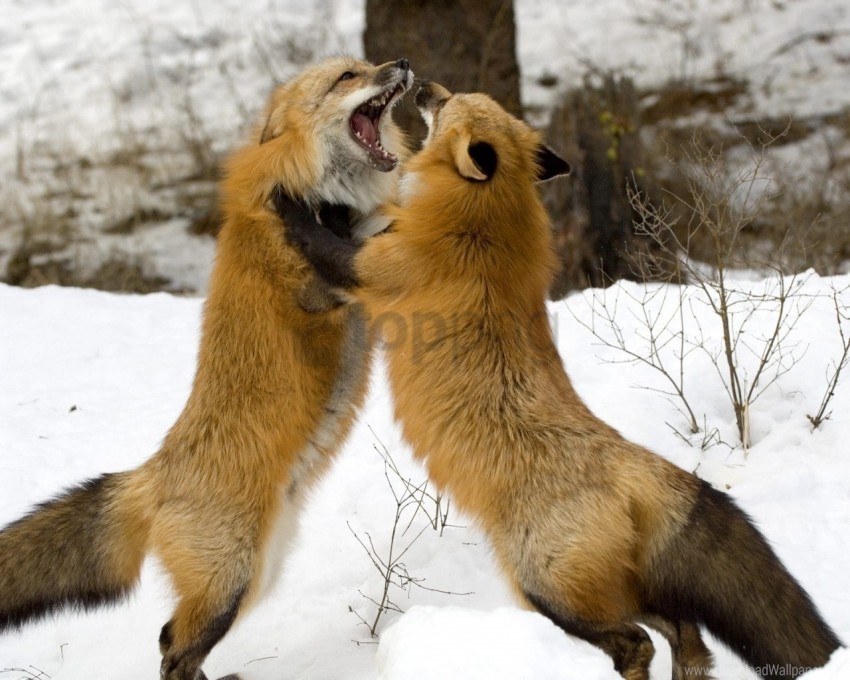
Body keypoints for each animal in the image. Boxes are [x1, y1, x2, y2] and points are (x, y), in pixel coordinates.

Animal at [0, 56, 413, 680]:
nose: (403, 64)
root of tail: (150, 475)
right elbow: (371, 242)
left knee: (173, 643)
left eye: (366, 66)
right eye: (347, 77)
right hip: (232, 581)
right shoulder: (324, 285)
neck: (316, 194)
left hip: (259, 574)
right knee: (171, 646)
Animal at [275, 81, 843, 680]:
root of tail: (639, 465)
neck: (483, 224)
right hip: (611, 590)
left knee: (639, 641)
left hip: (545, 587)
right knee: (683, 629)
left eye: (448, 103)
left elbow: (317, 239)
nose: (423, 83)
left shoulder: (374, 267)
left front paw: (289, 201)